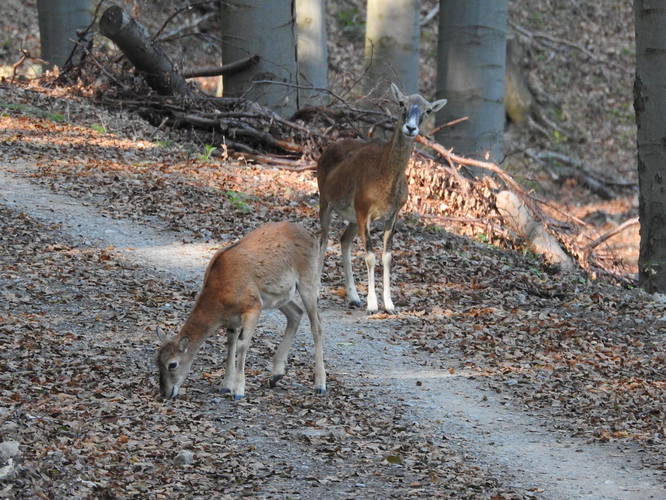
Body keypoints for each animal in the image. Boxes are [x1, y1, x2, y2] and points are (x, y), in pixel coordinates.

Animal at [154, 221, 324, 400]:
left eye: (172, 364)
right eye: (156, 361)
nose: (164, 393)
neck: (221, 297)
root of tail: (313, 236)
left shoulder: (254, 306)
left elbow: (242, 344)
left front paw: (239, 391)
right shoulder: (233, 318)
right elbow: (230, 344)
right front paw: (225, 386)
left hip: (309, 279)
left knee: (317, 325)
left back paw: (320, 385)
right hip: (280, 296)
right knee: (296, 313)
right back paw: (276, 376)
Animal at [316, 84, 446, 314]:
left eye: (428, 110)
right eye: (401, 103)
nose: (410, 128)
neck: (384, 180)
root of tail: (325, 151)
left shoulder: (392, 214)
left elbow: (387, 256)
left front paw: (390, 305)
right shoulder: (363, 209)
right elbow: (370, 256)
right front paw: (372, 305)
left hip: (352, 218)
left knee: (343, 240)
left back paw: (353, 298)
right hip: (326, 201)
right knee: (323, 240)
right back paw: (316, 294)